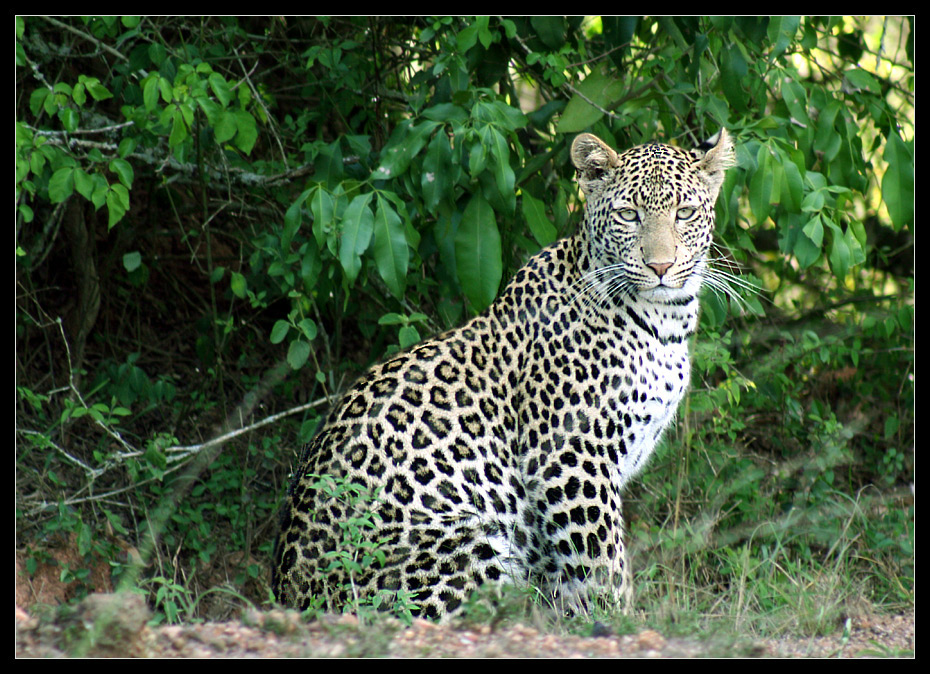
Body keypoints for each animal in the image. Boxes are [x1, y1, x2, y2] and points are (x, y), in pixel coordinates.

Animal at [272, 126, 736, 620]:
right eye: (629, 215)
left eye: (684, 213)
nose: (661, 267)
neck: (664, 321)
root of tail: (290, 598)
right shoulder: (569, 457)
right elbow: (601, 562)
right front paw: (617, 621)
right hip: (468, 543)